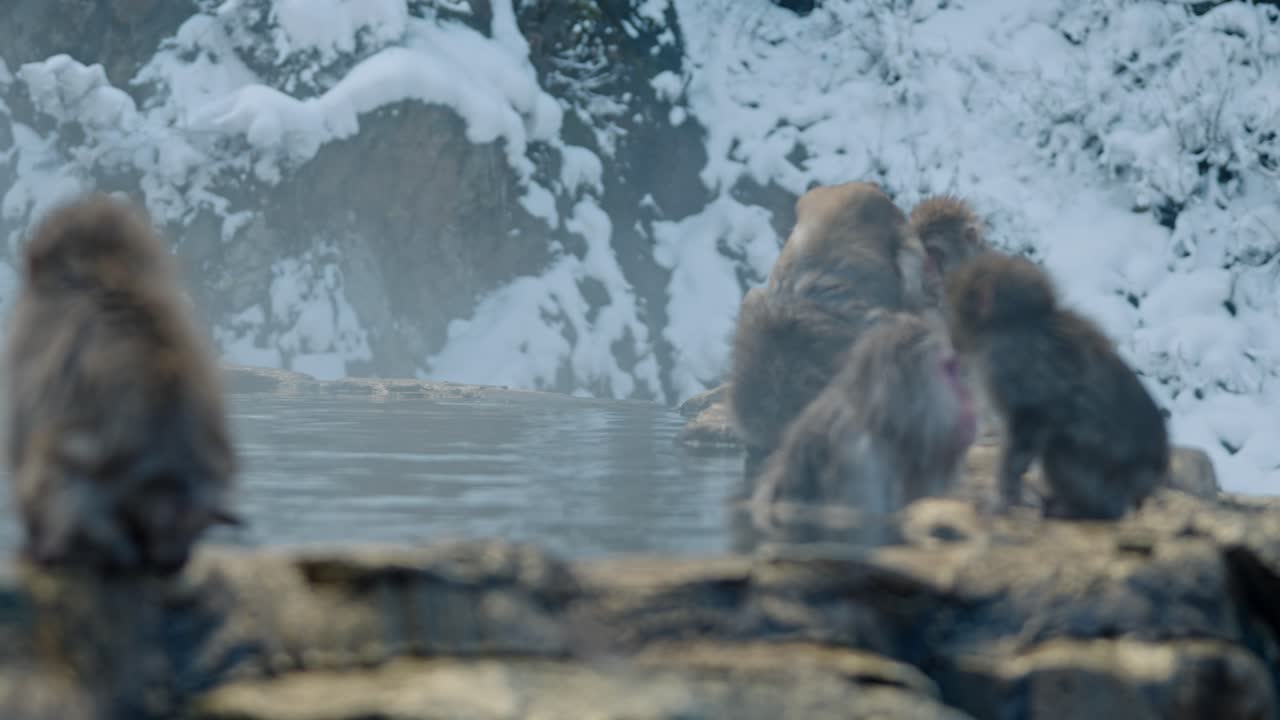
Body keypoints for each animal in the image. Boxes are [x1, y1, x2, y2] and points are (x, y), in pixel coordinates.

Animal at [943, 252, 1170, 520]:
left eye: (955, 309)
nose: (952, 338)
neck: (1016, 321)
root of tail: (1149, 481)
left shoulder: (1006, 362)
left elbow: (1032, 420)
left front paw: (1003, 497)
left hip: (1104, 480)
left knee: (1059, 446)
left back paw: (1083, 510)